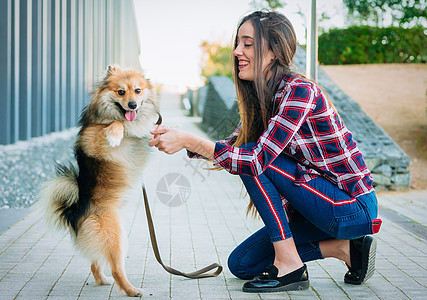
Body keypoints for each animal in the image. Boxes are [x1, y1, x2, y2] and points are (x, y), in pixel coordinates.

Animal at [37, 64, 162, 296]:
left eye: (138, 91)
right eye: (121, 92)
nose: (132, 104)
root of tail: (75, 210)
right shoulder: (95, 139)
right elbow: (114, 124)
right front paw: (114, 134)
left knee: (95, 262)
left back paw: (102, 280)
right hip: (115, 236)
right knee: (116, 268)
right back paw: (131, 290)